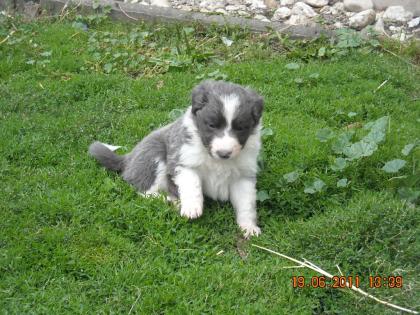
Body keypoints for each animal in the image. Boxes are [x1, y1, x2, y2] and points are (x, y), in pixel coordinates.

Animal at [89, 80, 262, 238]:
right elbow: (192, 185)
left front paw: (248, 227)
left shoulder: (243, 177)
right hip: (154, 156)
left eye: (240, 128)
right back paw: (170, 200)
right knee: (144, 190)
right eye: (212, 125)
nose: (224, 153)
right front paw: (192, 208)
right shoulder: (183, 162)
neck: (216, 160)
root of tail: (128, 158)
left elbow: (246, 203)